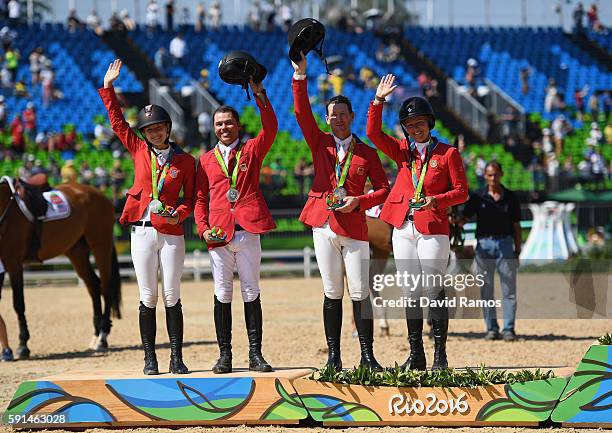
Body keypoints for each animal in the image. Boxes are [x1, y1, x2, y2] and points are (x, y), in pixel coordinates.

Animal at [0, 176, 120, 358]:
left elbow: (18, 303)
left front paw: (23, 345)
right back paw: (95, 335)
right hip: (77, 251)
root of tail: (100, 194)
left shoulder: (14, 263)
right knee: (93, 285)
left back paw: (102, 338)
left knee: (105, 287)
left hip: (100, 245)